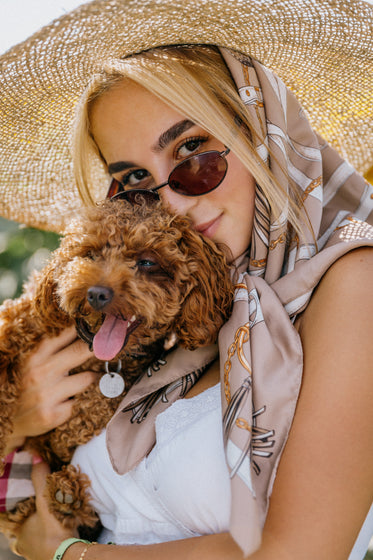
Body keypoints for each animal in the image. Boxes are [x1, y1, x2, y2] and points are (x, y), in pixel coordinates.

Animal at [0, 198, 232, 540]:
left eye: (147, 262)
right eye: (90, 253)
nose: (96, 293)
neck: (95, 349)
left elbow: (93, 406)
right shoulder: (16, 324)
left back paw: (66, 496)